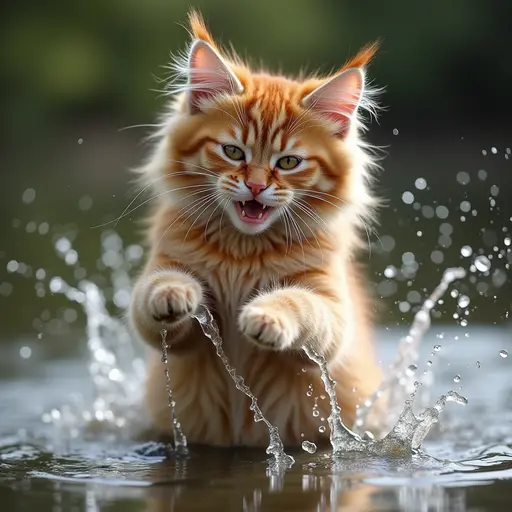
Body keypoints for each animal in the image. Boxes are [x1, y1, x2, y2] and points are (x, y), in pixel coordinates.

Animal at [128, 9, 384, 448]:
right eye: (233, 152)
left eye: (289, 162)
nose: (257, 186)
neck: (242, 251)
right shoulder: (166, 306)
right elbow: (157, 289)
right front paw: (176, 293)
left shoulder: (330, 312)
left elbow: (297, 303)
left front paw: (265, 317)